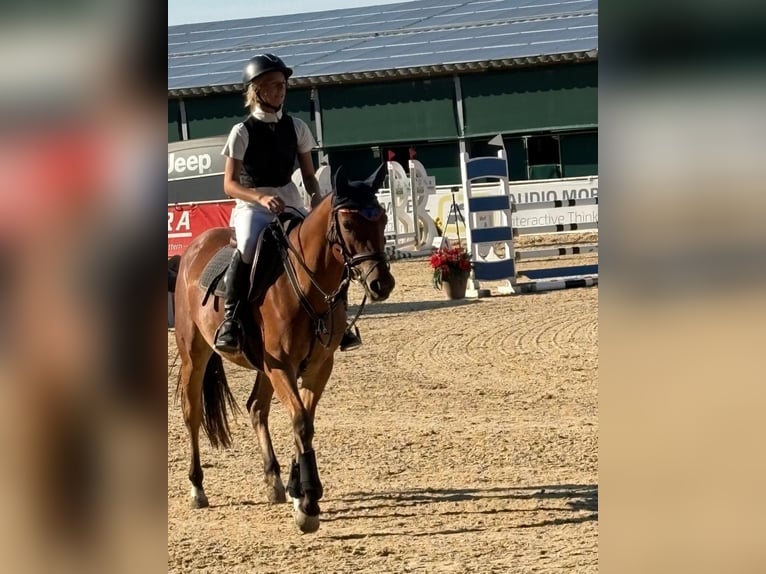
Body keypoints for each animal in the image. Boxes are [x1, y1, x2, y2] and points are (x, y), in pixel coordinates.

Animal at [172, 165, 395, 533]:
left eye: (383, 219)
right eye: (349, 225)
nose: (381, 284)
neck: (307, 287)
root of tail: (194, 248)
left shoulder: (318, 366)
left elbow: (304, 420)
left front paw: (297, 490)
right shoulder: (282, 366)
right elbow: (301, 422)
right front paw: (308, 503)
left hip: (263, 368)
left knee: (255, 408)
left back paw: (274, 482)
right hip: (196, 354)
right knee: (192, 413)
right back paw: (197, 488)